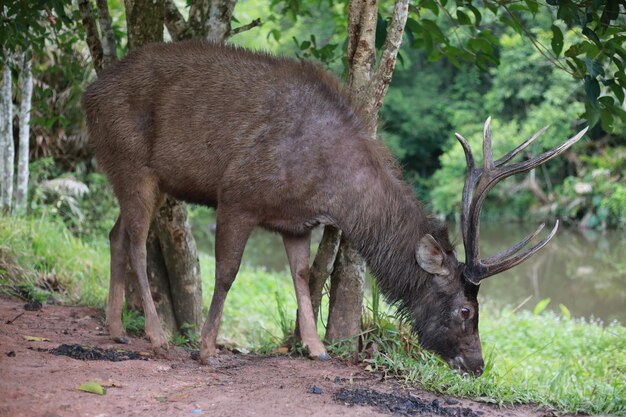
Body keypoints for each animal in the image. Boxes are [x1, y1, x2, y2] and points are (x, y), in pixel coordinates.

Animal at [83, 39, 584, 374]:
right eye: (466, 311)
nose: (478, 365)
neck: (331, 187)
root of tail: (87, 97)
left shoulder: (295, 222)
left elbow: (303, 279)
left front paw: (316, 347)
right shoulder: (238, 195)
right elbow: (227, 274)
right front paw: (206, 349)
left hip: (140, 176)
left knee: (114, 233)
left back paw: (116, 327)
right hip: (131, 161)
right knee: (135, 242)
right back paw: (156, 335)